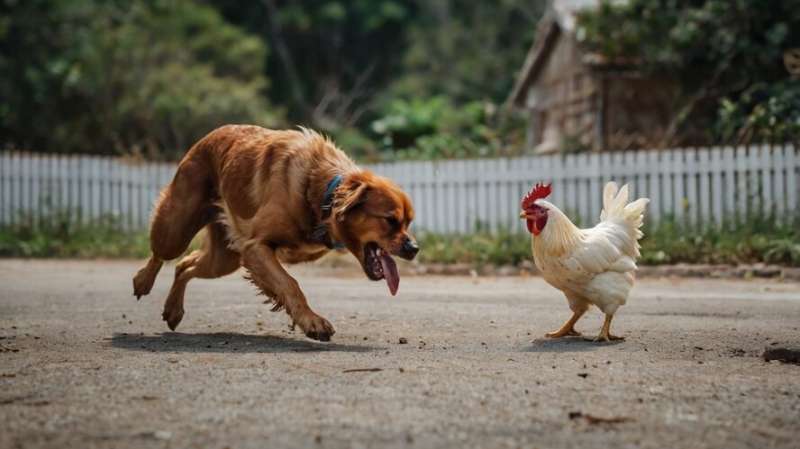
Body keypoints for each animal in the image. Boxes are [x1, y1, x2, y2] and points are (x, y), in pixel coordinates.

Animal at [131, 124, 418, 342]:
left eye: (408, 222)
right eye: (390, 221)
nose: (414, 249)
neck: (321, 193)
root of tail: (208, 136)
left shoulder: (250, 251)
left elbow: (283, 285)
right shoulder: (255, 247)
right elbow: (290, 284)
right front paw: (312, 322)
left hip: (224, 259)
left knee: (185, 266)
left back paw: (173, 310)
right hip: (176, 230)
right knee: (163, 254)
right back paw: (143, 281)